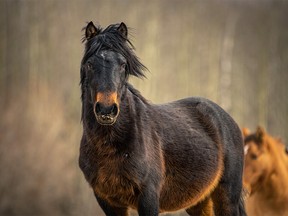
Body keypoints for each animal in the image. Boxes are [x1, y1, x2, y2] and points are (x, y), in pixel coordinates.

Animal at [80, 21, 246, 216]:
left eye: (122, 64)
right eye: (90, 64)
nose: (106, 109)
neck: (111, 146)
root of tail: (227, 119)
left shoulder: (148, 197)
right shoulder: (108, 201)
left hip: (227, 197)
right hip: (200, 202)